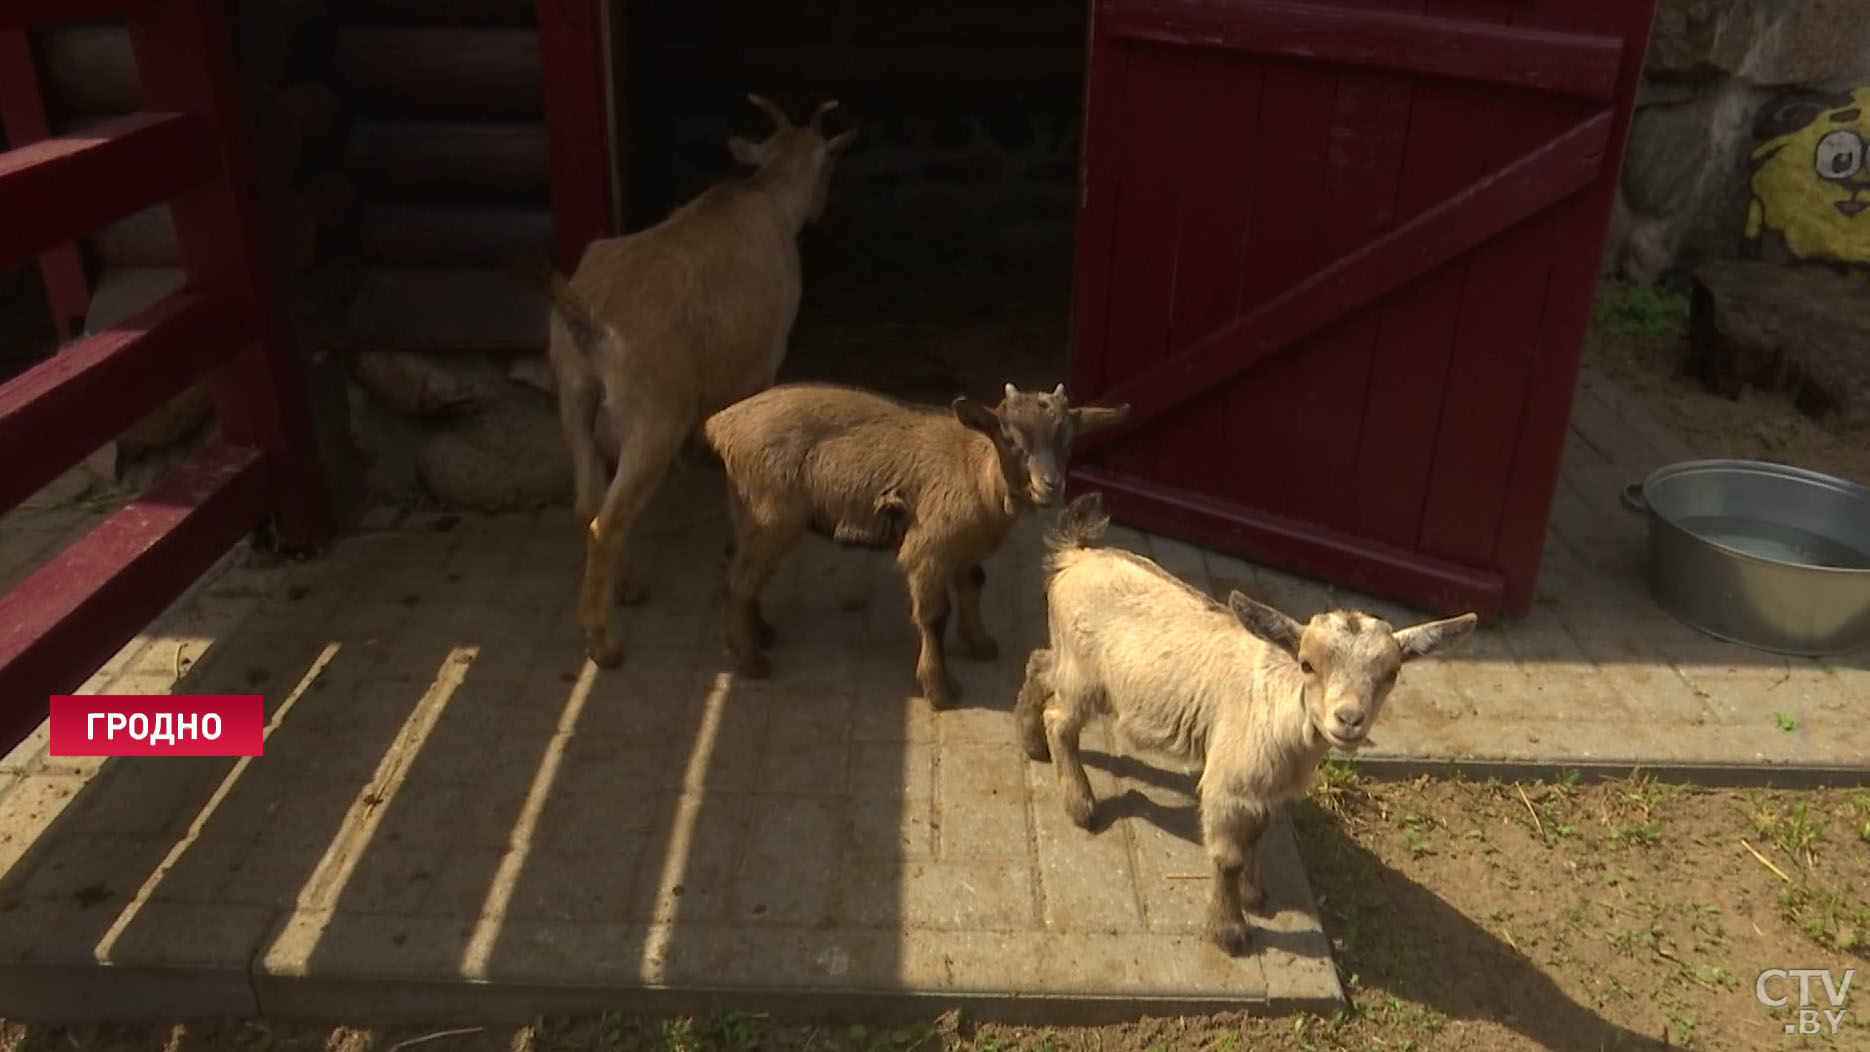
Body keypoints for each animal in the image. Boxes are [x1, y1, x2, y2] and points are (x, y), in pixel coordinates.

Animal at [516, 90, 856, 665]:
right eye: (829, 162)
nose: (821, 208)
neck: (763, 195)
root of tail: (588, 312)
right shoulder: (761, 362)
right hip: (654, 416)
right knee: (609, 518)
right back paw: (603, 642)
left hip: (573, 391)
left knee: (587, 501)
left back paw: (626, 586)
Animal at [699, 379, 1122, 706]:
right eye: (1010, 439)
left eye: (1068, 440)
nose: (1050, 485)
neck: (976, 471)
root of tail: (721, 424)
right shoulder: (927, 551)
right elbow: (934, 616)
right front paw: (941, 690)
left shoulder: (963, 547)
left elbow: (974, 585)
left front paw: (981, 644)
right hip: (773, 516)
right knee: (741, 580)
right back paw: (752, 661)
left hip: (750, 513)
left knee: (743, 575)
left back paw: (758, 635)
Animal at [1017, 493, 1481, 956]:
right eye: (1307, 664)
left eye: (1392, 674)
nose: (1348, 719)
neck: (1284, 716)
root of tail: (1076, 556)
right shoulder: (1228, 784)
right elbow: (1229, 856)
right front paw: (1229, 930)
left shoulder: (1266, 793)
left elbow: (1254, 839)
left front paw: (1253, 895)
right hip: (1084, 676)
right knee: (1061, 720)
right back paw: (1080, 804)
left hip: (1069, 660)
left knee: (1039, 664)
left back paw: (1030, 741)